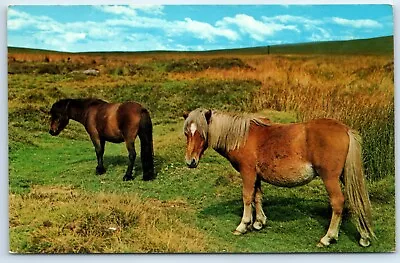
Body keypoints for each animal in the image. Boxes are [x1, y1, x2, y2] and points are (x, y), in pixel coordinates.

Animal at [184, 109, 376, 248]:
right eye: (187, 134)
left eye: (201, 133)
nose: (190, 161)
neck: (242, 137)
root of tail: (345, 129)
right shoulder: (256, 176)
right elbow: (257, 196)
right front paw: (259, 222)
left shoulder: (248, 173)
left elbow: (247, 197)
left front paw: (243, 225)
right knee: (356, 201)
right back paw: (364, 236)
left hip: (330, 178)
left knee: (338, 203)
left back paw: (328, 238)